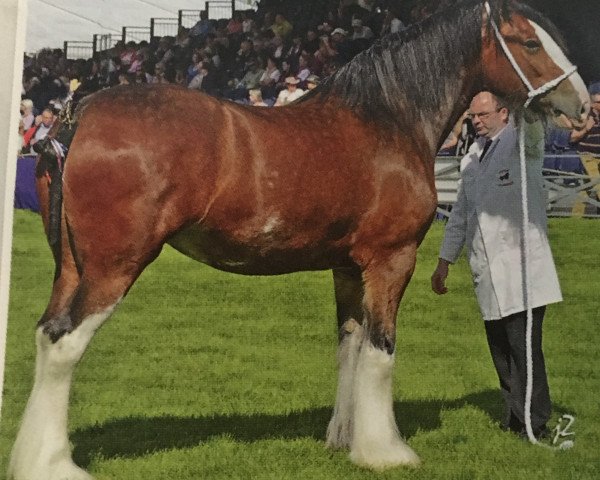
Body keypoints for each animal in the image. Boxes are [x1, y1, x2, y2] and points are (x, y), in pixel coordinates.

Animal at [10, 1, 592, 478]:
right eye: (530, 42)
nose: (583, 104)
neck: (387, 118)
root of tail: (78, 115)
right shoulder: (391, 261)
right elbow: (381, 350)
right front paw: (386, 452)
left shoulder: (348, 268)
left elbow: (349, 346)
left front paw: (344, 439)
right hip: (115, 267)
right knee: (64, 343)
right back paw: (54, 465)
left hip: (73, 267)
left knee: (45, 334)